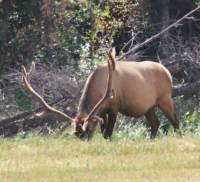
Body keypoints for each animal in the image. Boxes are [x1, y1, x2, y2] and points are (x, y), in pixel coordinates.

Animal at [21, 48, 180, 139]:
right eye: (76, 134)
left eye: (89, 130)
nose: (84, 141)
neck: (99, 87)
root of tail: (168, 72)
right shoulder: (102, 110)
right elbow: (104, 130)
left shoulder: (114, 104)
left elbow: (109, 131)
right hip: (148, 107)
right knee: (155, 123)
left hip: (165, 98)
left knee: (175, 121)